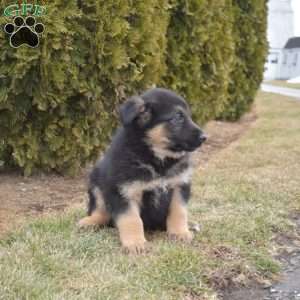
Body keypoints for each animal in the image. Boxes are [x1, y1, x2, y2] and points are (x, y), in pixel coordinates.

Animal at [78, 88, 206, 254]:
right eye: (178, 117)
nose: (204, 137)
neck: (157, 159)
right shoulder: (123, 191)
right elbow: (132, 220)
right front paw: (135, 243)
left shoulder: (180, 185)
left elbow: (179, 211)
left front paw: (180, 233)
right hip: (96, 181)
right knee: (101, 211)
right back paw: (89, 222)